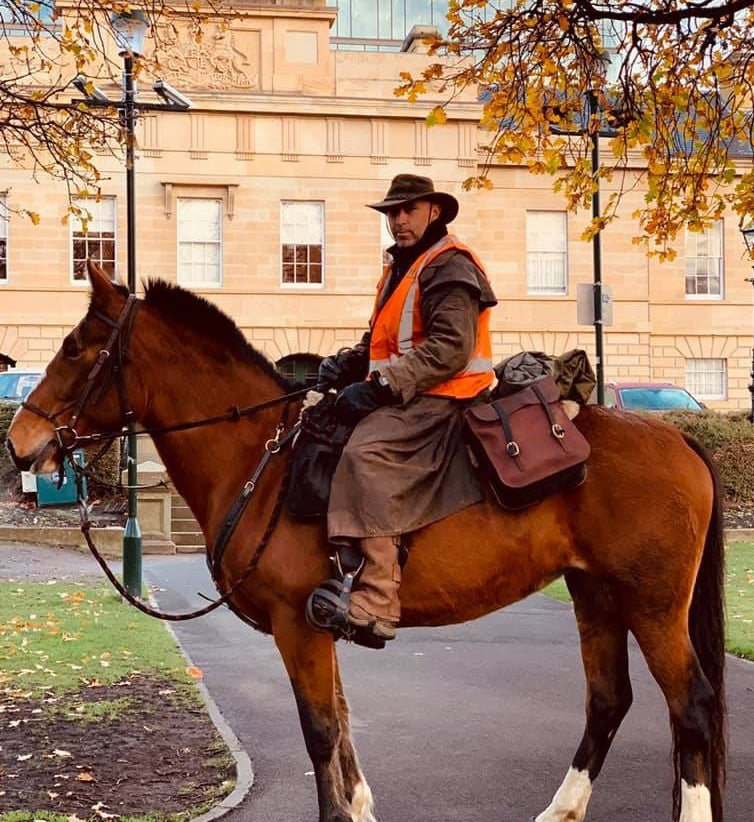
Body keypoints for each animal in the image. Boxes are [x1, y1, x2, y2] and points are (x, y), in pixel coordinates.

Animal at [4, 266, 724, 822]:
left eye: (78, 349)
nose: (19, 442)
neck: (262, 463)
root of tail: (675, 436)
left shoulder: (299, 625)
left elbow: (321, 732)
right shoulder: (320, 623)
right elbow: (344, 726)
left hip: (652, 606)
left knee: (690, 706)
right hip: (595, 593)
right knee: (609, 701)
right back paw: (561, 808)